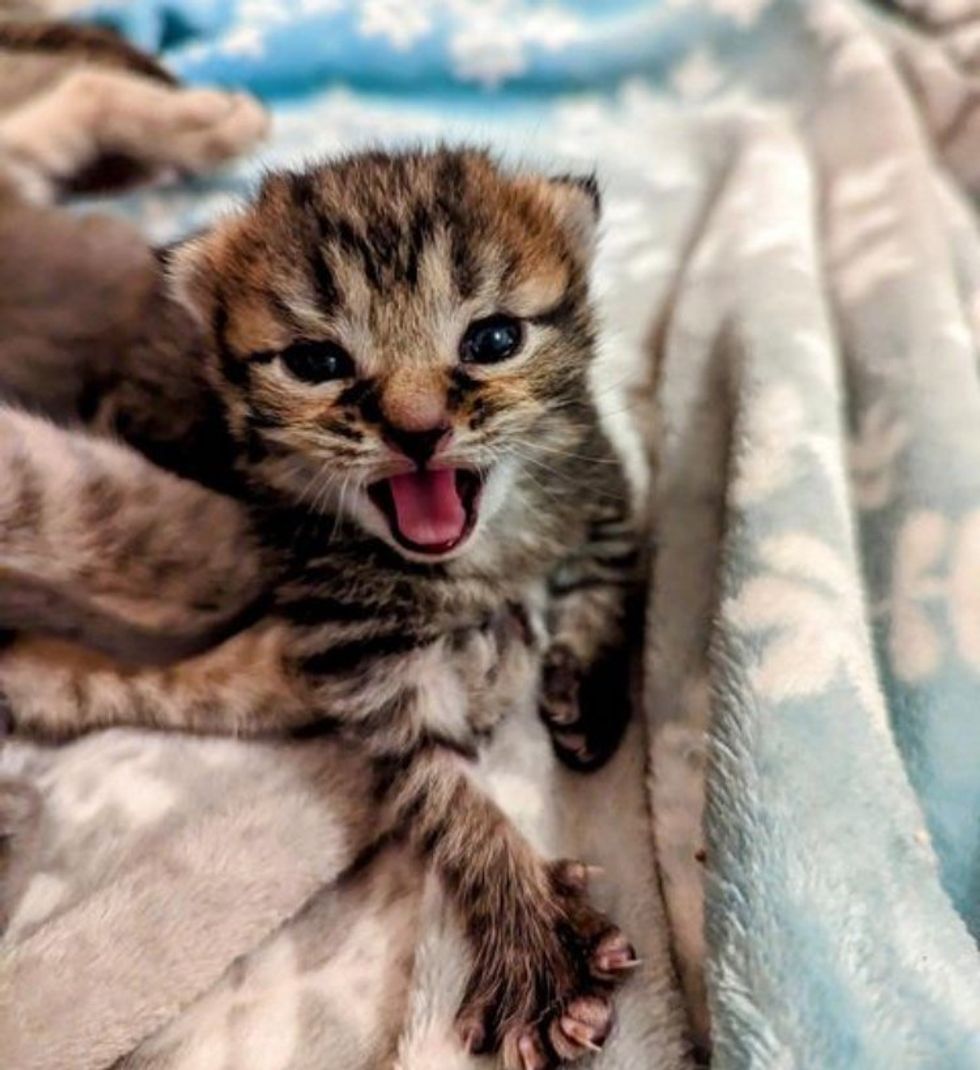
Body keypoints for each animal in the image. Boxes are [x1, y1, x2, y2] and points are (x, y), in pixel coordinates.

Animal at [1, 146, 641, 1065]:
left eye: (492, 340)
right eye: (316, 363)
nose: (419, 430)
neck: (478, 557)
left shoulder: (595, 476)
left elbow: (614, 571)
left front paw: (589, 687)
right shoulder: (357, 647)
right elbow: (440, 783)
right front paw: (532, 934)